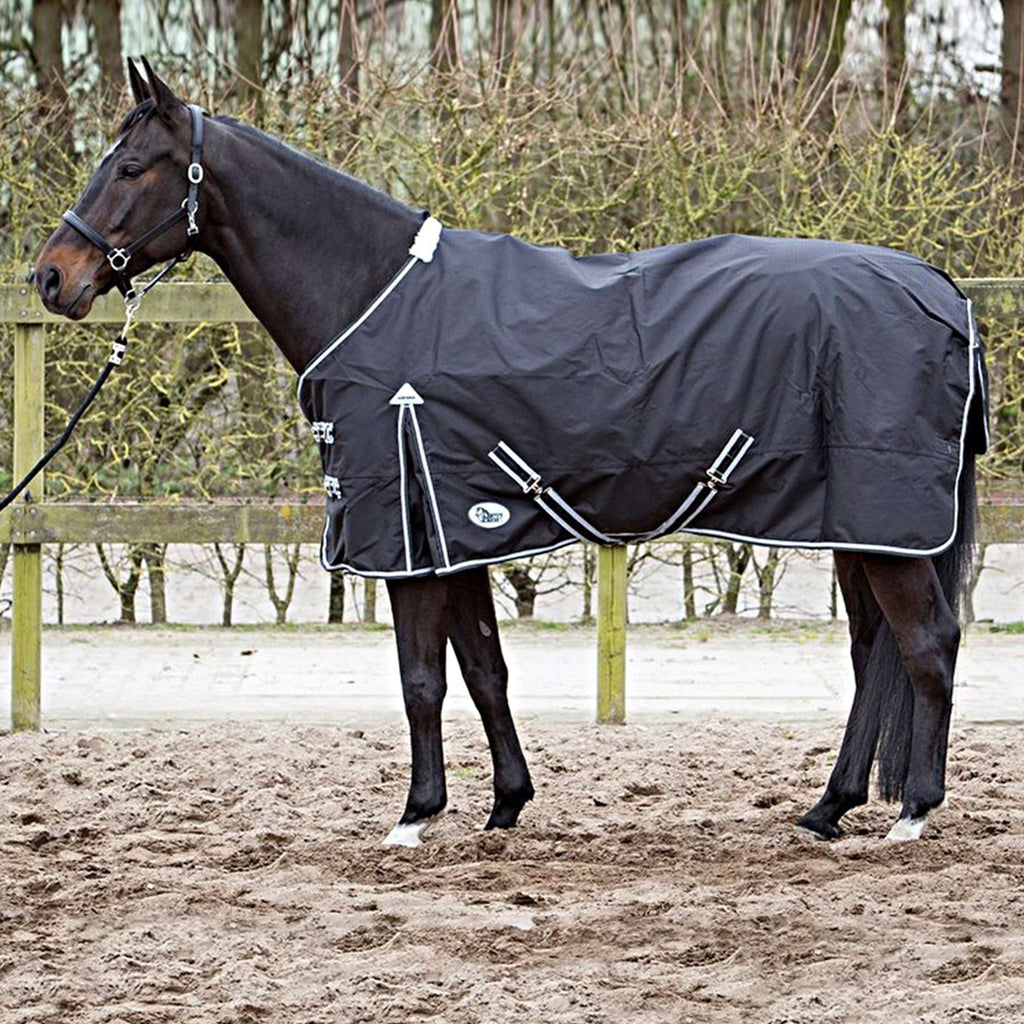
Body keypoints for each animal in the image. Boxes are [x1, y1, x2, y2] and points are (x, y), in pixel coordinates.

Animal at [34, 59, 985, 846]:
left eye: (130, 167)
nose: (51, 276)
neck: (374, 298)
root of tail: (941, 290)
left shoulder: (407, 539)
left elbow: (422, 678)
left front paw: (415, 817)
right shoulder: (454, 530)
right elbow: (484, 668)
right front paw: (504, 806)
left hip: (888, 527)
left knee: (928, 643)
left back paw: (913, 812)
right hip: (857, 527)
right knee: (871, 653)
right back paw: (828, 810)